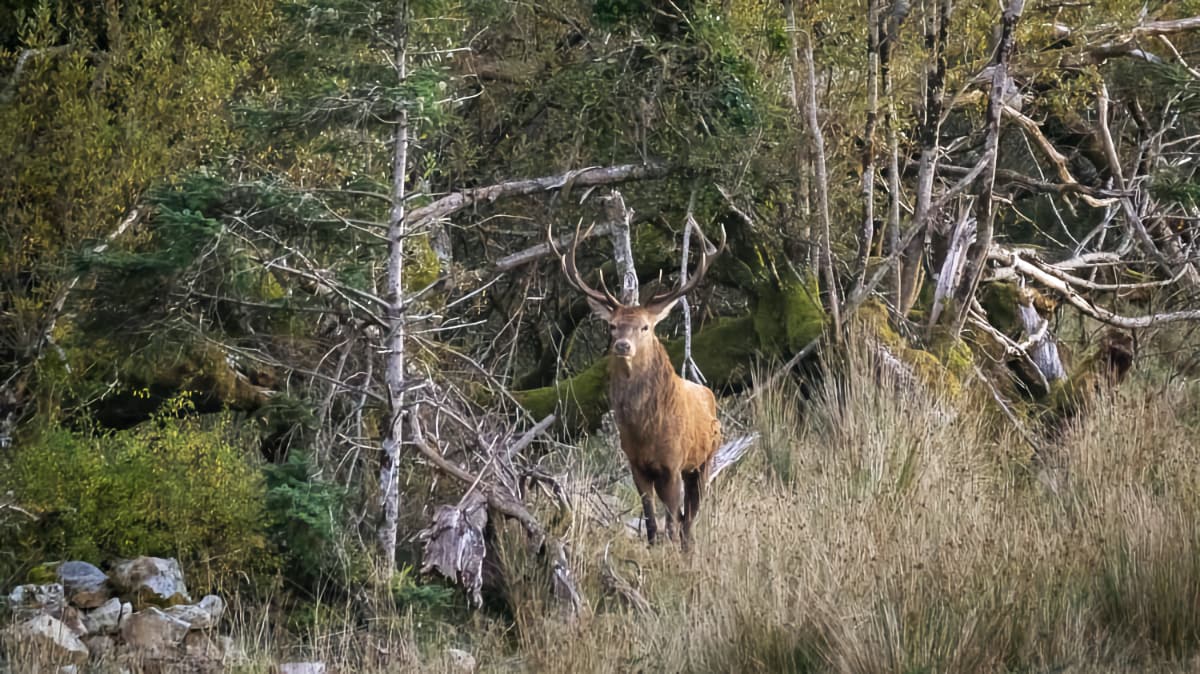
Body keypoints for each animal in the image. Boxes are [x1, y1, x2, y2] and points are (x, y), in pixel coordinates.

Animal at [552, 224, 726, 551]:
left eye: (645, 327)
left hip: (704, 460)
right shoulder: (636, 464)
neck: (646, 430)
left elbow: (672, 521)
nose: (622, 345)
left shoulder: (673, 462)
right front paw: (653, 546)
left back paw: (689, 550)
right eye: (612, 326)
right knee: (684, 517)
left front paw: (670, 551)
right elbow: (651, 519)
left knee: (689, 520)